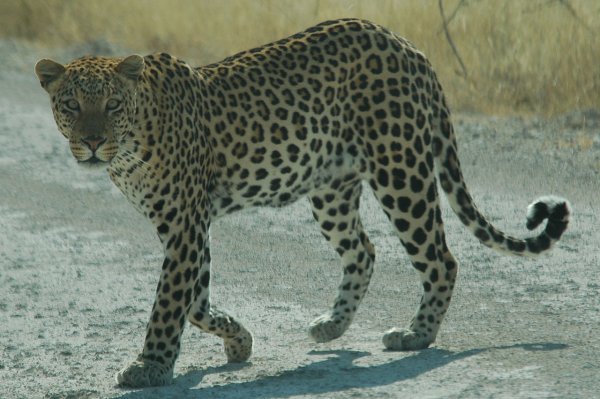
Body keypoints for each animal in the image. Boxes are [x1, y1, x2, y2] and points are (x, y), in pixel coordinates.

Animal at [35, 18, 568, 388]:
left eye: (112, 105)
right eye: (71, 106)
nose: (92, 143)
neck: (130, 146)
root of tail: (406, 44)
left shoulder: (184, 224)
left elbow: (169, 303)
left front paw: (149, 366)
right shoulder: (187, 225)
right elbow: (196, 301)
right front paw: (239, 341)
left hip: (401, 171)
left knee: (441, 257)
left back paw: (415, 335)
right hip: (331, 188)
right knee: (363, 250)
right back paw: (332, 326)